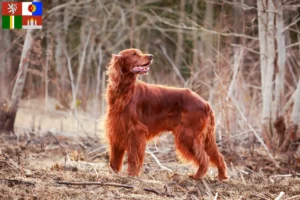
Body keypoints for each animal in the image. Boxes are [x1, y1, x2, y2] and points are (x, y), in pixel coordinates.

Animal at [105, 48, 227, 181]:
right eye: (133, 54)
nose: (151, 56)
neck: (124, 91)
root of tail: (205, 103)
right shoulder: (116, 129)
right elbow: (114, 159)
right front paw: (114, 173)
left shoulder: (135, 131)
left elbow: (133, 157)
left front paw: (132, 175)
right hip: (204, 138)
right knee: (219, 156)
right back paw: (222, 177)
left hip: (188, 135)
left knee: (205, 158)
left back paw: (197, 176)